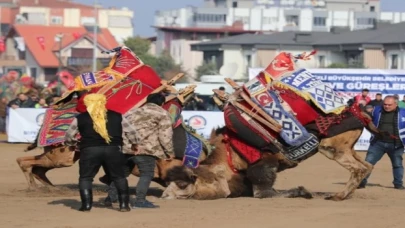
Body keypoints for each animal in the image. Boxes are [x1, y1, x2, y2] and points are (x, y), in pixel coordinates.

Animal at [17, 45, 210, 191]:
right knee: (26, 162)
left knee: (36, 167)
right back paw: (36, 188)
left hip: (63, 155)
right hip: (62, 155)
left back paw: (48, 188)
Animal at [160, 51, 378, 201]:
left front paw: (303, 191)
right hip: (348, 146)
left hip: (332, 146)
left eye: (182, 183)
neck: (229, 155)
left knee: (358, 168)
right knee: (367, 165)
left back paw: (338, 196)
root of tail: (360, 111)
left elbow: (264, 193)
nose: (165, 195)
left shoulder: (263, 164)